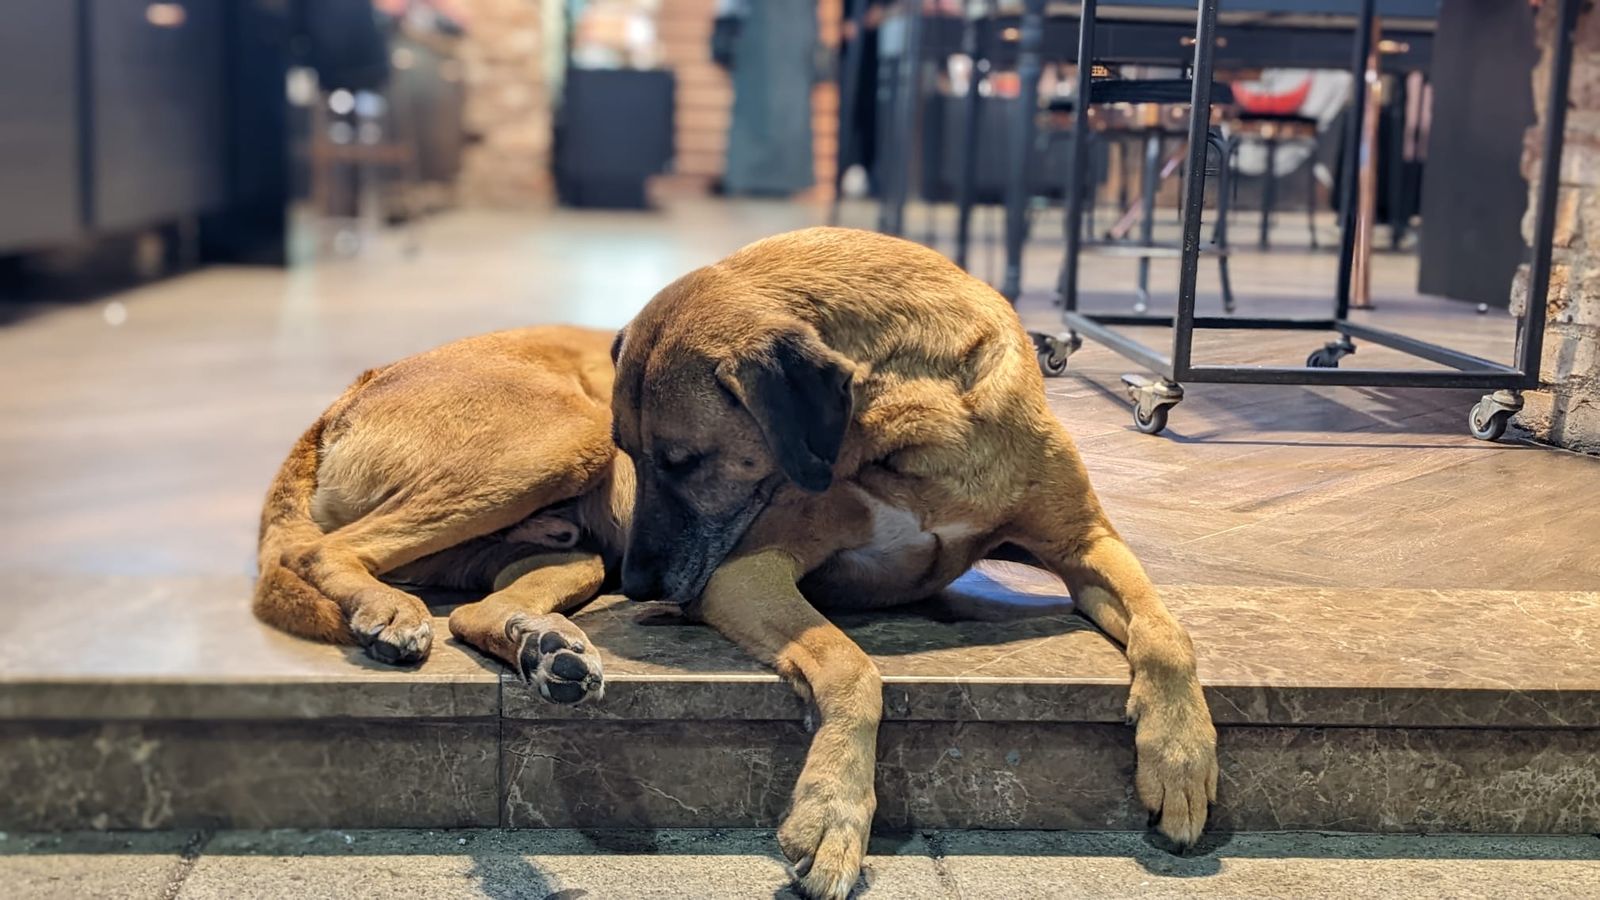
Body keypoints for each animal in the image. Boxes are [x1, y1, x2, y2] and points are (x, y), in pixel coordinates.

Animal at [252, 325, 628, 702]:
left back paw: (547, 651)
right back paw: (394, 608)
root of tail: (347, 397)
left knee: (471, 614)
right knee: (317, 550)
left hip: (551, 549)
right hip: (566, 440)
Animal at [612, 227, 1218, 899]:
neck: (914, 416)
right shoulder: (745, 569)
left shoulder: (1085, 543)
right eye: (627, 449)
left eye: (685, 460)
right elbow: (852, 666)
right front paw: (832, 812)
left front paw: (1182, 756)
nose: (635, 585)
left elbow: (1167, 633)